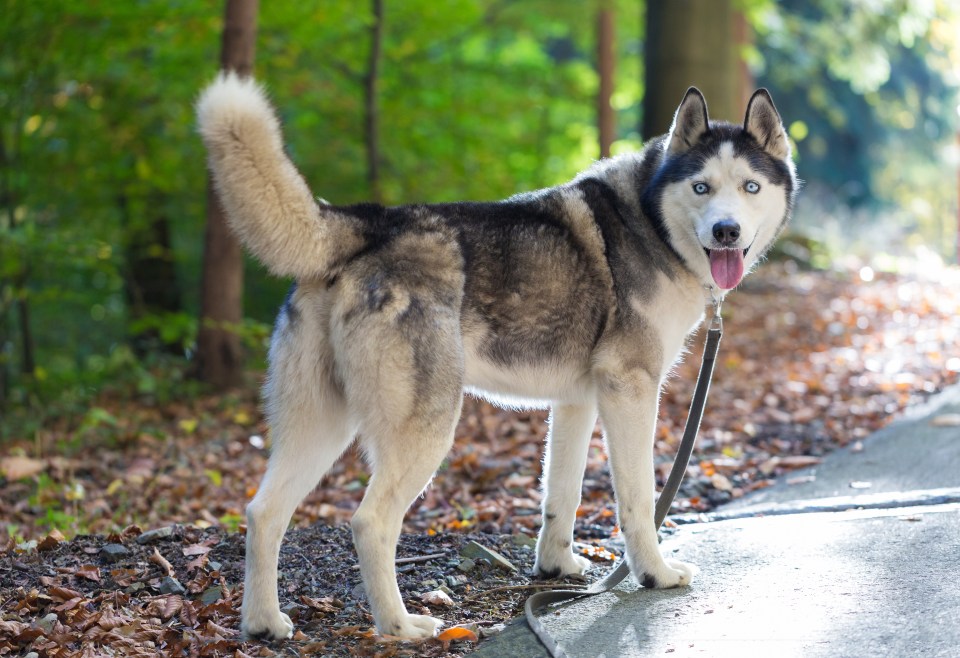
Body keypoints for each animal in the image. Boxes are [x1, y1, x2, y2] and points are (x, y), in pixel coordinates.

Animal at [193, 74, 796, 640]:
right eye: (701, 186)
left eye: (749, 186)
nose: (726, 230)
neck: (650, 219)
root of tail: (368, 222)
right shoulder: (630, 390)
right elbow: (638, 500)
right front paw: (654, 573)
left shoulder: (577, 403)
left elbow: (562, 493)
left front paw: (556, 570)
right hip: (426, 428)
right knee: (368, 523)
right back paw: (400, 626)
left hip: (321, 426)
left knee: (263, 512)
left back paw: (263, 623)